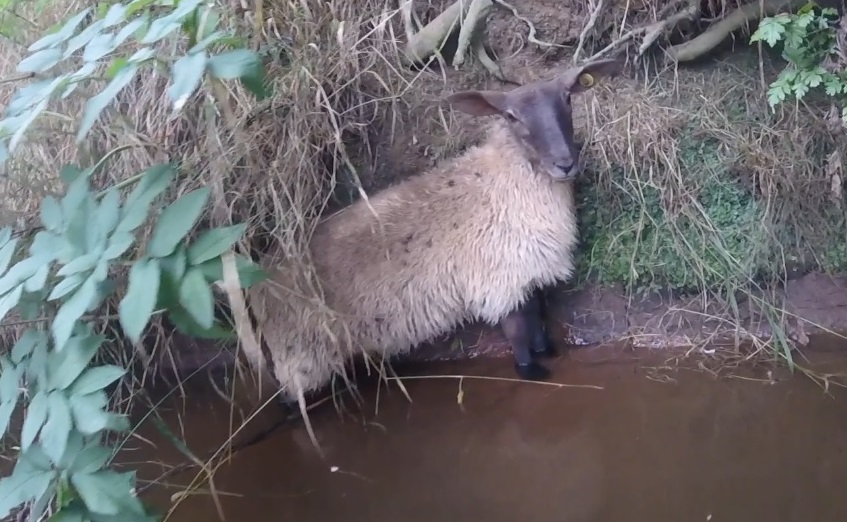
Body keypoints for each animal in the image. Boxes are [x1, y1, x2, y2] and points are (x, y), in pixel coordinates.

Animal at [245, 60, 624, 402]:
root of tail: (260, 278)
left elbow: (539, 318)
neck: (504, 181)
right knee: (291, 398)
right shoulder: (498, 278)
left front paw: (548, 352)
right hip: (302, 354)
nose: (565, 163)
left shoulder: (528, 271)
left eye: (568, 98)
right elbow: (518, 333)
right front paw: (531, 371)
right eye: (511, 116)